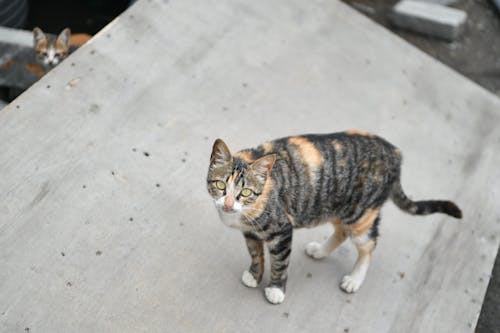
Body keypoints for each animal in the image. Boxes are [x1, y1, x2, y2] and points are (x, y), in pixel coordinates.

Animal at [206, 130, 460, 304]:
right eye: (220, 186)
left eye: (245, 192)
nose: (228, 204)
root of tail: (395, 153)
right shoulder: (250, 233)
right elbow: (256, 255)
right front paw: (254, 275)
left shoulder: (282, 230)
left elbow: (279, 262)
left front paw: (276, 289)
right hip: (337, 207)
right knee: (341, 233)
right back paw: (320, 251)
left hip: (360, 214)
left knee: (369, 244)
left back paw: (354, 279)